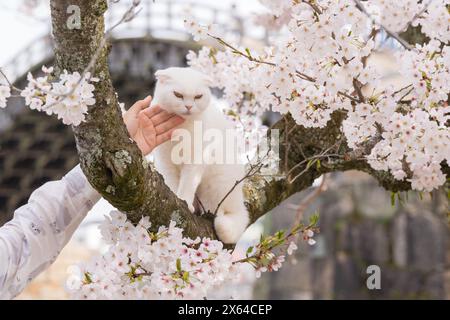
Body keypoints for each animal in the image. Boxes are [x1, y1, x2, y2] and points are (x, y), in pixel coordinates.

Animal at [151, 67, 250, 242]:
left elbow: (187, 184)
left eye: (198, 96)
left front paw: (184, 201)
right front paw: (178, 199)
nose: (189, 106)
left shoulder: (196, 160)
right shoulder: (166, 164)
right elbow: (173, 185)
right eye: (178, 94)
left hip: (215, 186)